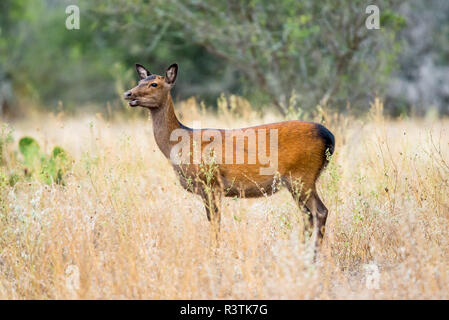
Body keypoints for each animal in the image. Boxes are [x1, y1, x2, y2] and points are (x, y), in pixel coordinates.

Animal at [124, 62, 334, 255]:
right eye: (139, 81)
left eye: (154, 84)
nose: (128, 94)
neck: (181, 143)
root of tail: (329, 137)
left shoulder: (211, 183)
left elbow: (215, 222)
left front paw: (214, 255)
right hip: (298, 181)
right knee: (309, 215)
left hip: (302, 176)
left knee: (319, 211)